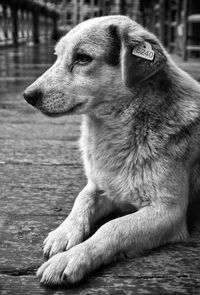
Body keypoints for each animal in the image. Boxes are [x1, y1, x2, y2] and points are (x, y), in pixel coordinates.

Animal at [22, 15, 200, 286]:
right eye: (56, 55)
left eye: (82, 58)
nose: (28, 95)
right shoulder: (101, 184)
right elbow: (81, 201)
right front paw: (64, 233)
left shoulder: (168, 211)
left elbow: (112, 228)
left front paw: (70, 259)